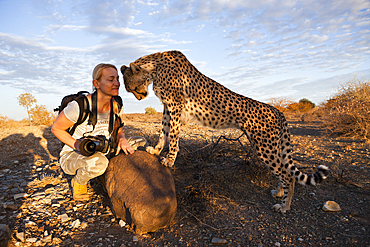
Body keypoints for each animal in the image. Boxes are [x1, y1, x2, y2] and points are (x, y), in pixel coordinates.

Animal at [120, 50, 326, 214]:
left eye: (134, 88)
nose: (140, 98)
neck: (155, 66)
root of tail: (278, 111)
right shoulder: (167, 106)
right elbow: (163, 129)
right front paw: (156, 150)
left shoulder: (175, 105)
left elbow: (173, 134)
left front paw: (169, 159)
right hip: (270, 147)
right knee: (283, 171)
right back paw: (279, 193)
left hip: (265, 147)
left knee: (288, 175)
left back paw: (284, 206)